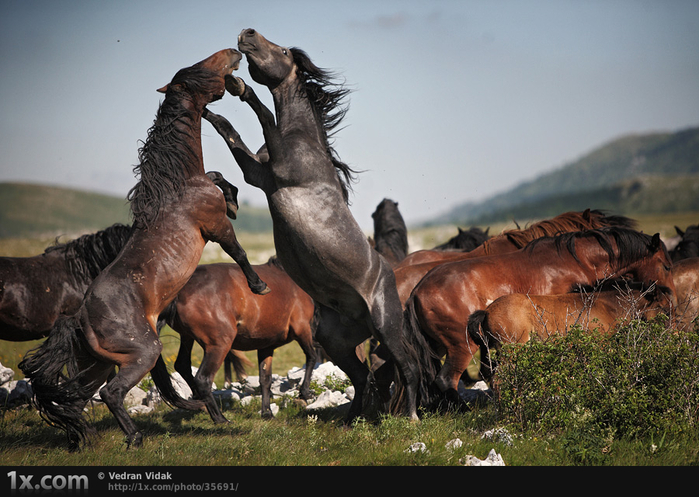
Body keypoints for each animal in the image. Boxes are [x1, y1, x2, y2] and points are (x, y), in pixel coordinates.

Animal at [18, 48, 270, 448]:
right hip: (142, 354)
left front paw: (232, 198)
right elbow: (240, 251)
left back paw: (82, 438)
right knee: (110, 393)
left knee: (76, 395)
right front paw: (259, 285)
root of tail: (79, 318)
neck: (178, 186)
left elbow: (218, 177)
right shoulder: (215, 227)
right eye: (199, 70)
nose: (233, 53)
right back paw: (134, 437)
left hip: (99, 363)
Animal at [156, 256, 318, 422]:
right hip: (219, 345)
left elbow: (265, 379)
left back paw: (201, 403)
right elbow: (311, 357)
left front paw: (267, 412)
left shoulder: (266, 345)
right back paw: (220, 418)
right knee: (203, 379)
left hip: (187, 337)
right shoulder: (302, 328)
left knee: (182, 365)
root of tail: (178, 292)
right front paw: (304, 393)